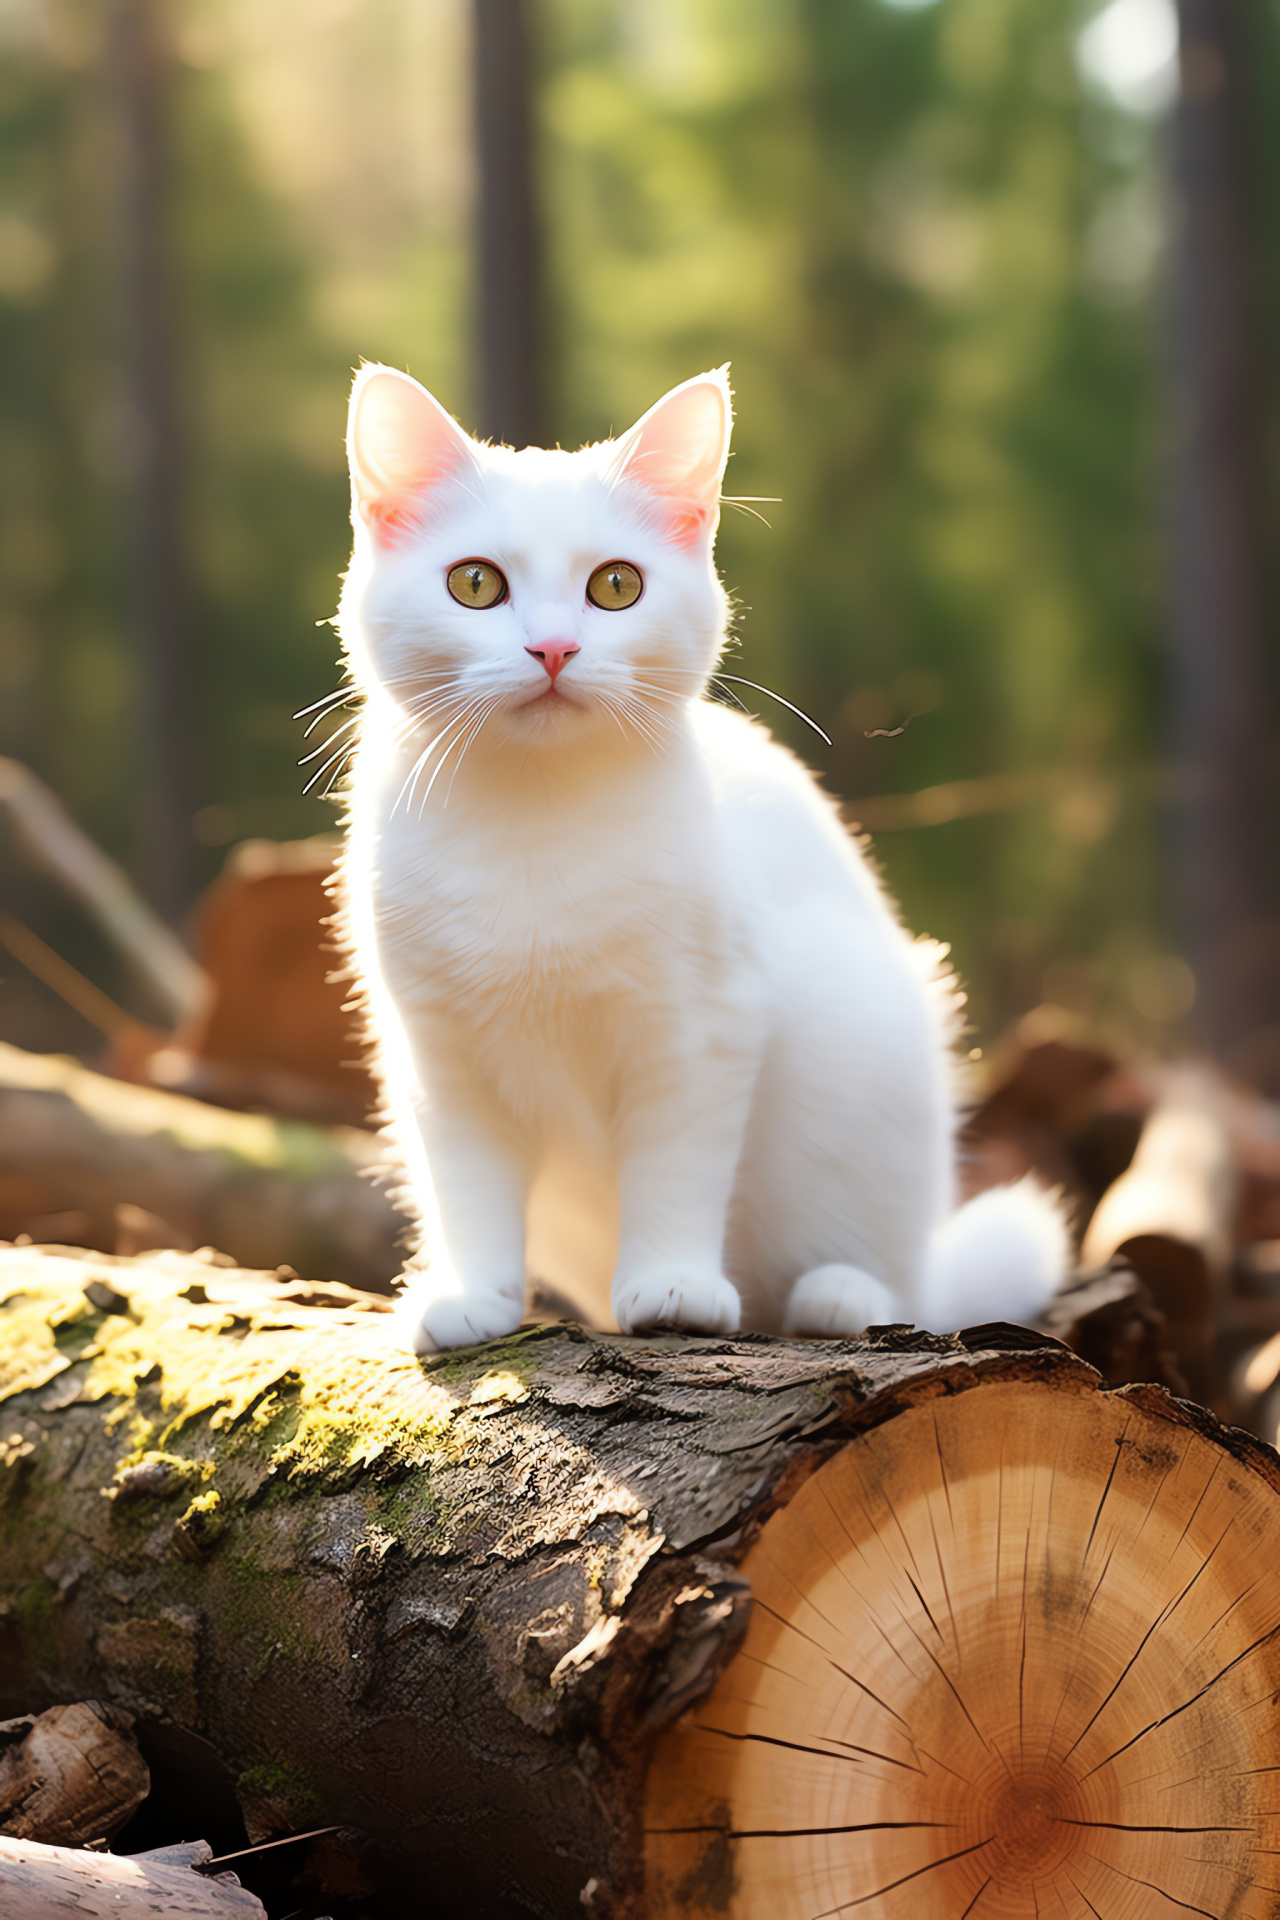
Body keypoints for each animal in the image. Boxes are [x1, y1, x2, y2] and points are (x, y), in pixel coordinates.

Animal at [333, 360, 1074, 1351]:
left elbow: (674, 1169)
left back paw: (842, 1295)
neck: (535, 825)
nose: (553, 647)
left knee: (898, 1281)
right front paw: (473, 1297)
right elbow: (469, 1185)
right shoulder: (438, 1056)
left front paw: (674, 1284)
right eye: (475, 583)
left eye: (615, 585)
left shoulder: (702, 1027)